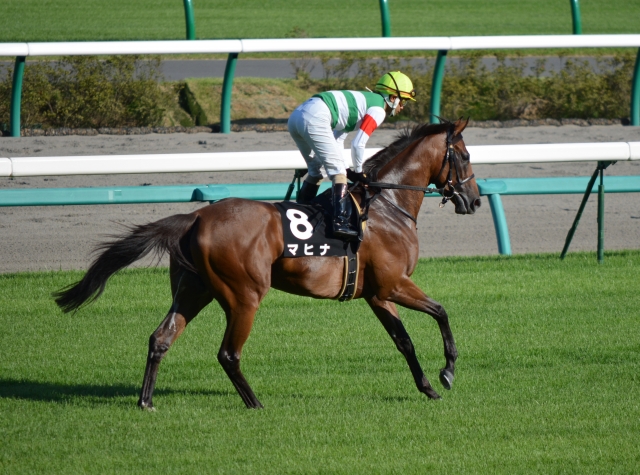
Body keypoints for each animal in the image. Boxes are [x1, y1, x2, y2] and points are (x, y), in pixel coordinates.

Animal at [54, 118, 481, 410]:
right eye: (464, 156)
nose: (475, 200)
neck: (386, 206)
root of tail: (195, 217)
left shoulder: (377, 292)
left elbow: (403, 340)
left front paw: (427, 386)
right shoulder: (394, 283)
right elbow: (441, 312)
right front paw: (447, 372)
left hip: (193, 290)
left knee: (161, 337)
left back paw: (146, 401)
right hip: (244, 295)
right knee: (228, 353)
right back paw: (255, 402)